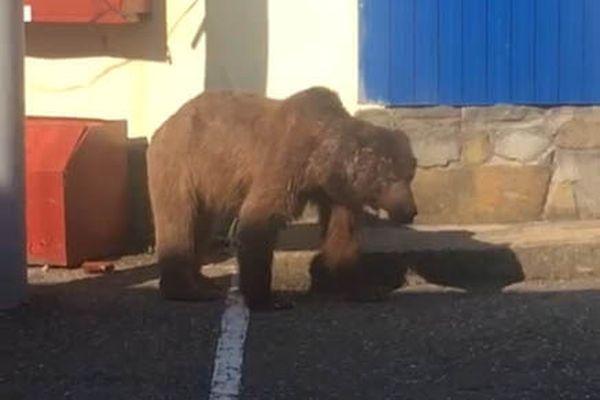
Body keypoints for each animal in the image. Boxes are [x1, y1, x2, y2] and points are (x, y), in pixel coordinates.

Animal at [146, 87, 418, 310]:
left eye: (409, 174)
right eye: (391, 177)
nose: (409, 210)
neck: (321, 164)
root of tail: (165, 123)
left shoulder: (338, 193)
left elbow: (342, 232)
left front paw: (364, 288)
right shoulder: (286, 162)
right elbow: (259, 218)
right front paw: (270, 299)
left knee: (200, 226)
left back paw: (202, 281)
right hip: (181, 164)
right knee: (179, 221)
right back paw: (188, 290)